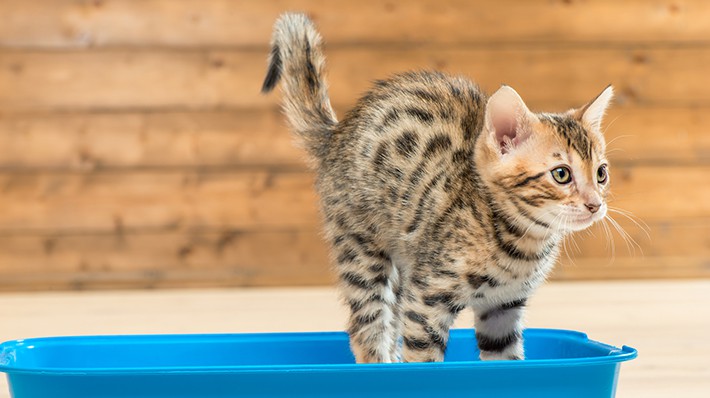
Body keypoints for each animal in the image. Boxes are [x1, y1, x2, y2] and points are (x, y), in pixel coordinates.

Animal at [262, 13, 612, 364]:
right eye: (561, 174)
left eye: (601, 173)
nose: (595, 204)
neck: (521, 242)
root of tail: (336, 133)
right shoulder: (426, 299)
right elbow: (425, 361)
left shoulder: (502, 307)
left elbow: (506, 360)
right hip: (362, 251)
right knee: (367, 326)